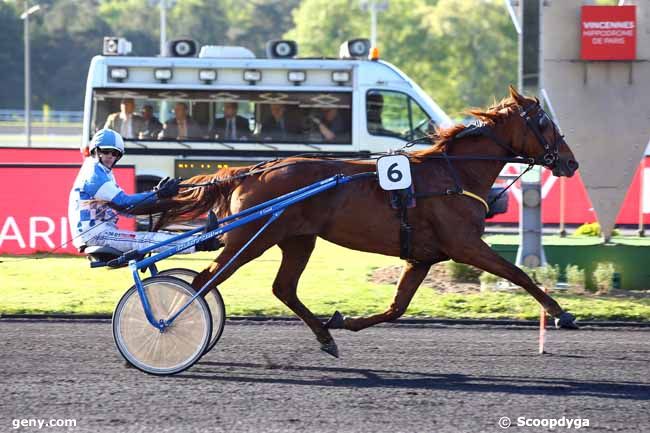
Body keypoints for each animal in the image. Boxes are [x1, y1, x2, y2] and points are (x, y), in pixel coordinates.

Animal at [151, 86, 576, 356]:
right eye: (544, 122)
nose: (570, 163)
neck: (453, 174)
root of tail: (253, 171)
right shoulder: (465, 245)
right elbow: (518, 274)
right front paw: (561, 314)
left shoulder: (423, 257)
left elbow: (396, 308)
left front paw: (344, 321)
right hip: (250, 240)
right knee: (203, 281)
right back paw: (172, 325)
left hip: (297, 240)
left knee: (282, 288)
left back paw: (325, 336)